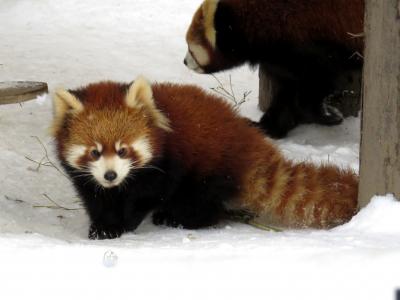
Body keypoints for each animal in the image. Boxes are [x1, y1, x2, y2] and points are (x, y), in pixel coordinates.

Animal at [51, 77, 358, 239]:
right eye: (95, 152)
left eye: (123, 150)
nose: (110, 175)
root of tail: (248, 139)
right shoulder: (86, 178)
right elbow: (96, 198)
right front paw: (102, 226)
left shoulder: (166, 165)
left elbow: (147, 197)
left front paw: (124, 224)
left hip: (209, 169)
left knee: (202, 200)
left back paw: (179, 219)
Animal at [184, 0, 366, 138]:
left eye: (190, 49)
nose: (184, 62)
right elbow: (288, 92)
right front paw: (267, 127)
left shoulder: (315, 45)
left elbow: (317, 83)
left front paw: (327, 116)